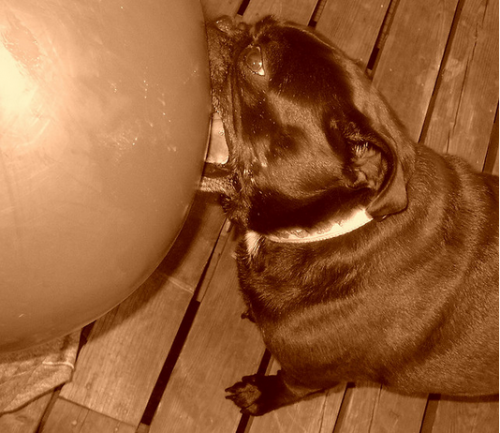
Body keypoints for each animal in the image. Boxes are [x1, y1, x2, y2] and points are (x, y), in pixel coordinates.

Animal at [204, 16, 500, 416]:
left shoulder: (307, 375)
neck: (333, 225)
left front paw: (258, 395)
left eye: (256, 63)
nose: (225, 22)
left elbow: (284, 387)